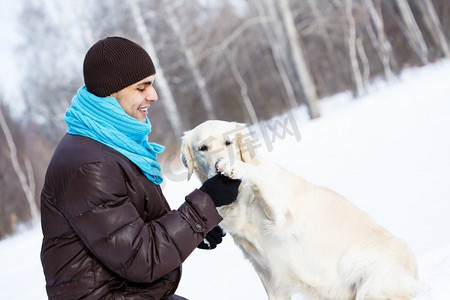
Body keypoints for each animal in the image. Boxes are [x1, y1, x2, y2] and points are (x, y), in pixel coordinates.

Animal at [180, 120, 418, 300]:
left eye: (228, 142)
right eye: (202, 148)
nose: (217, 167)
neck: (240, 200)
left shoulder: (283, 219)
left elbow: (258, 177)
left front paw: (235, 167)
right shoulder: (269, 276)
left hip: (365, 277)